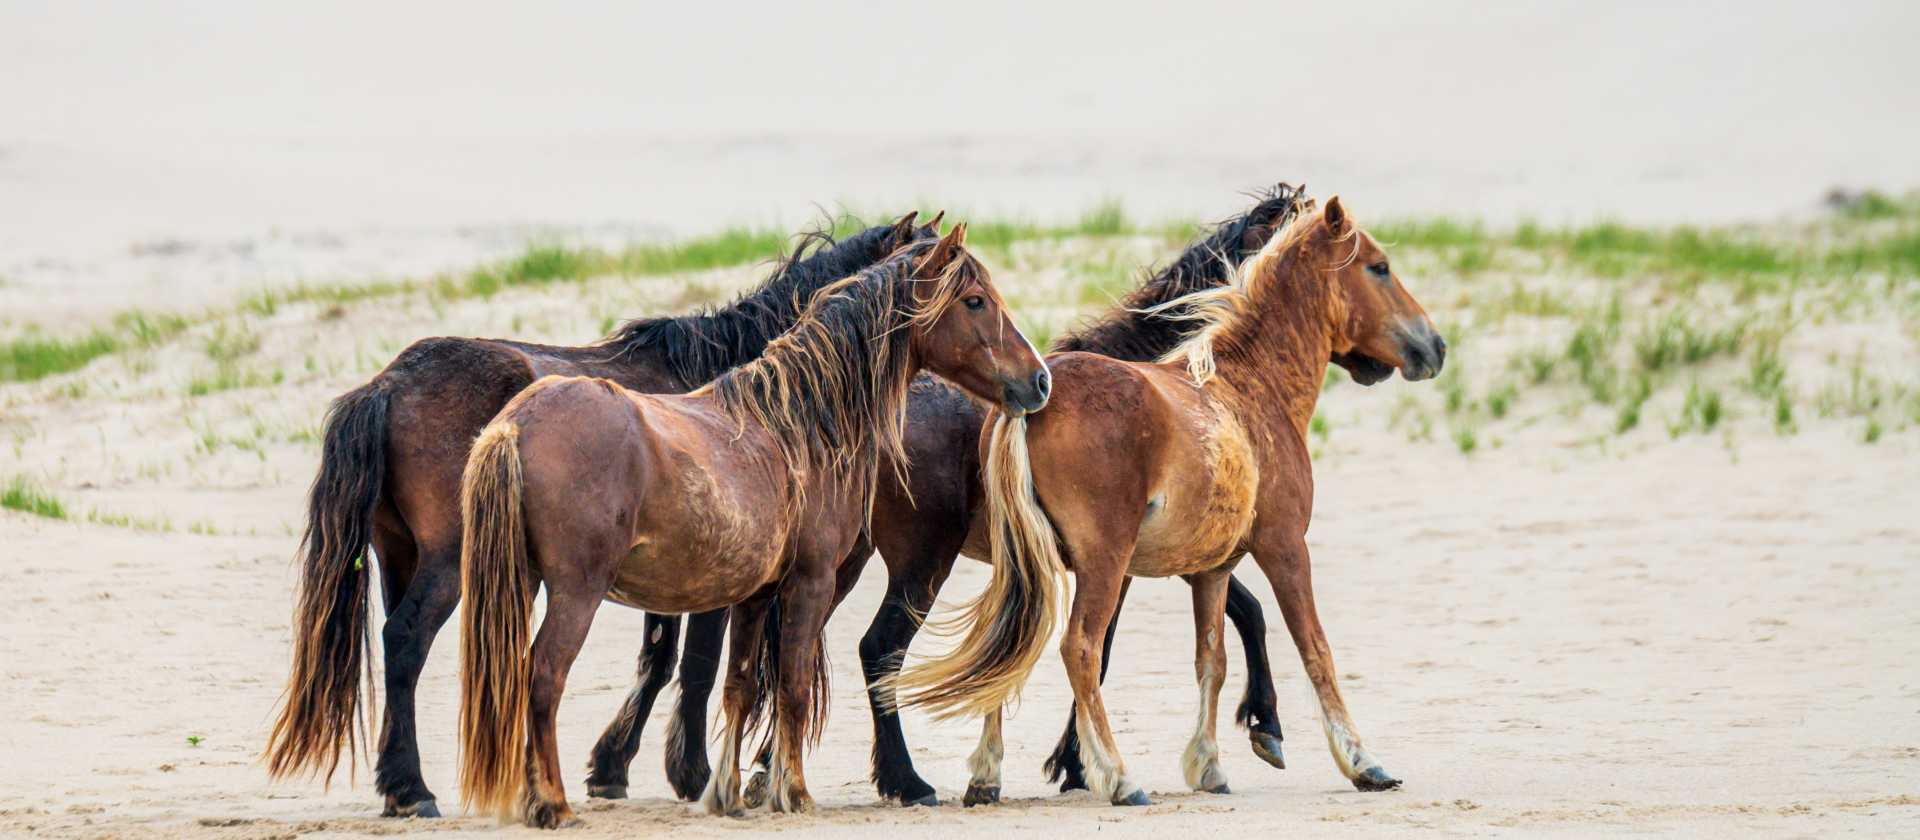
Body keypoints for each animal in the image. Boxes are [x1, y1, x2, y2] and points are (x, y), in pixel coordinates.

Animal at [263, 211, 935, 817]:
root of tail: (386, 385)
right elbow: (694, 666)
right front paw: (686, 772)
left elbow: (659, 660)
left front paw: (614, 768)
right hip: (448, 562)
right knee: (406, 641)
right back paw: (414, 791)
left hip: (399, 556)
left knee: (398, 650)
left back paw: (398, 782)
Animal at [455, 225, 1050, 827]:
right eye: (974, 301)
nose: (1040, 380)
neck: (800, 424)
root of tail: (514, 425)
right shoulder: (811, 582)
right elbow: (791, 687)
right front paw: (795, 792)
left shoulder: (756, 595)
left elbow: (739, 684)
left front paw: (728, 793)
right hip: (577, 591)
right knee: (544, 677)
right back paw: (553, 802)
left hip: (525, 581)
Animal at [892, 196, 1445, 806]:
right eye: (1379, 268)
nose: (1434, 346)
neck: (1250, 388)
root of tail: (1032, 400)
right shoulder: (1284, 547)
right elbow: (1314, 649)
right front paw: (1361, 760)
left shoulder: (1212, 570)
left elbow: (1214, 659)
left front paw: (1209, 764)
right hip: (1095, 562)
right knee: (1076, 648)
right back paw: (1117, 776)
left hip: (1030, 566)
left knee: (1012, 645)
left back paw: (988, 776)